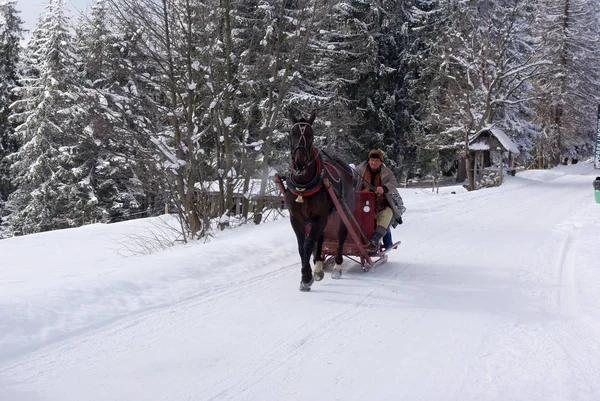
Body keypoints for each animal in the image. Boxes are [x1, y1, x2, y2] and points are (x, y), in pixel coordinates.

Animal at [284, 110, 354, 290]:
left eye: (311, 135)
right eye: (292, 134)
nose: (300, 162)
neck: (303, 185)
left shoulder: (319, 217)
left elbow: (308, 244)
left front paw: (306, 277)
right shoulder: (296, 218)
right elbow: (302, 246)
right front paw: (311, 272)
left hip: (344, 207)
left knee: (342, 234)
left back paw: (337, 266)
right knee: (320, 236)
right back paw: (318, 265)